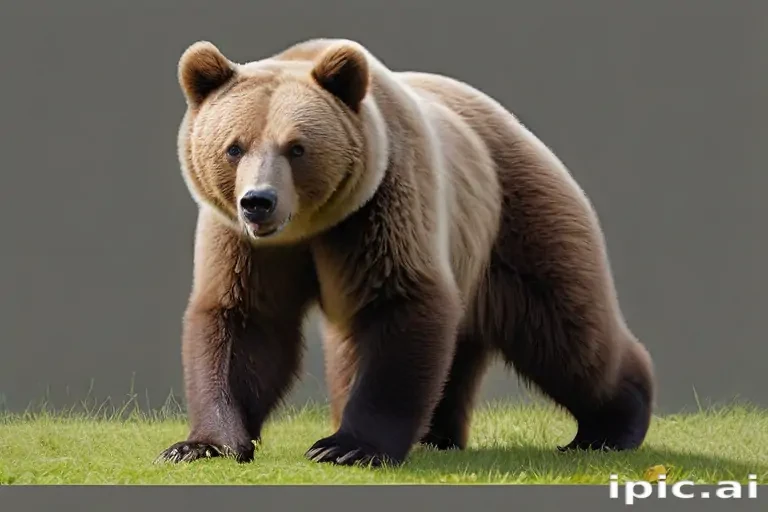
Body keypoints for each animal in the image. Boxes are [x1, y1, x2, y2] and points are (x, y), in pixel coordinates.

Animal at [156, 38, 655, 467]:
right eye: (234, 147)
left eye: (297, 148)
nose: (258, 201)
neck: (311, 227)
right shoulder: (244, 244)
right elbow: (245, 321)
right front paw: (200, 445)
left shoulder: (383, 208)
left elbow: (398, 306)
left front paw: (347, 447)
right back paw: (436, 434)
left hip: (515, 218)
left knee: (564, 326)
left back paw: (611, 424)